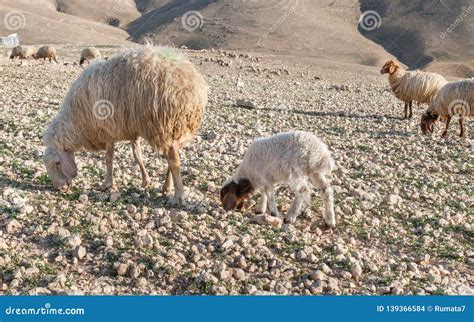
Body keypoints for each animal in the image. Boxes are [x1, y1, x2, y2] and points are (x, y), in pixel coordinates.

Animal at [42, 46, 207, 205]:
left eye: (57, 163)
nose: (59, 187)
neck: (77, 120)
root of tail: (192, 87)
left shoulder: (107, 129)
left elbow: (109, 158)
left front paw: (107, 184)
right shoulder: (131, 128)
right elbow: (137, 155)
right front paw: (145, 180)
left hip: (163, 125)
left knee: (173, 160)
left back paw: (177, 196)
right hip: (175, 128)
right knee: (173, 154)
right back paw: (167, 186)